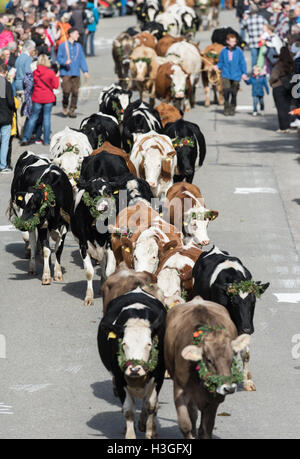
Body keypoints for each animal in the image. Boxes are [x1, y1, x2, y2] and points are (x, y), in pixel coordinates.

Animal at [9, 152, 73, 284]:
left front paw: (58, 273)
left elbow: (58, 249)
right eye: (24, 204)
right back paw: (32, 267)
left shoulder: (65, 225)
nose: (22, 224)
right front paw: (46, 276)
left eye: (35, 205)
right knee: (33, 244)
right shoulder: (41, 225)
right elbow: (46, 249)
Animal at [98, 290, 166, 440]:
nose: (135, 369)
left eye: (149, 344)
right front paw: (130, 434)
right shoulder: (120, 379)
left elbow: (150, 405)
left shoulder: (159, 377)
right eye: (124, 343)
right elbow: (128, 410)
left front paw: (149, 432)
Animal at [164, 296, 251, 440]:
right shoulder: (180, 390)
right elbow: (185, 424)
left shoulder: (214, 399)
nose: (229, 388)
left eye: (232, 357)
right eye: (209, 359)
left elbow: (206, 429)